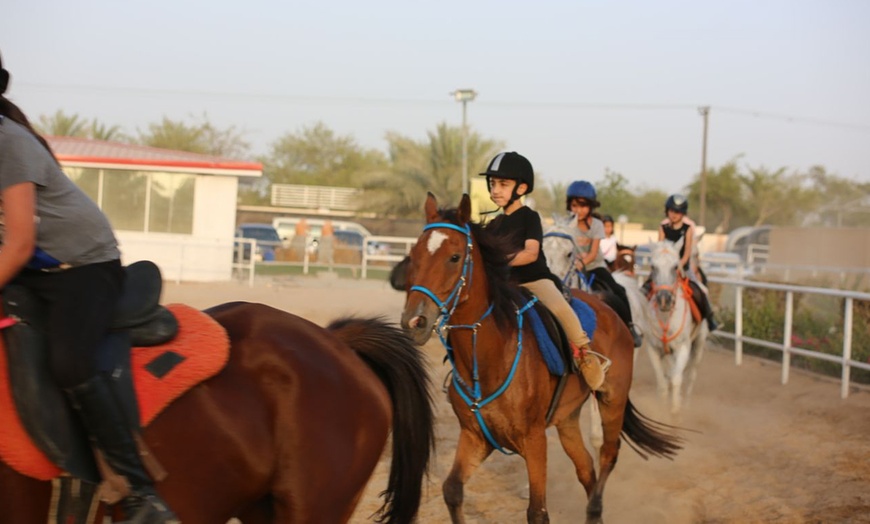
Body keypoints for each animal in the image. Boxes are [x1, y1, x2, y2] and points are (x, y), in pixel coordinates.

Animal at [394, 194, 680, 520]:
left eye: (454, 257)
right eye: (414, 255)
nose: (414, 321)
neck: (490, 356)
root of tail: (612, 312)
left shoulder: (534, 440)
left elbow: (537, 511)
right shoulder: (475, 436)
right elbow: (452, 491)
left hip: (612, 399)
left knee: (608, 454)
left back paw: (596, 505)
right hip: (568, 419)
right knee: (586, 468)